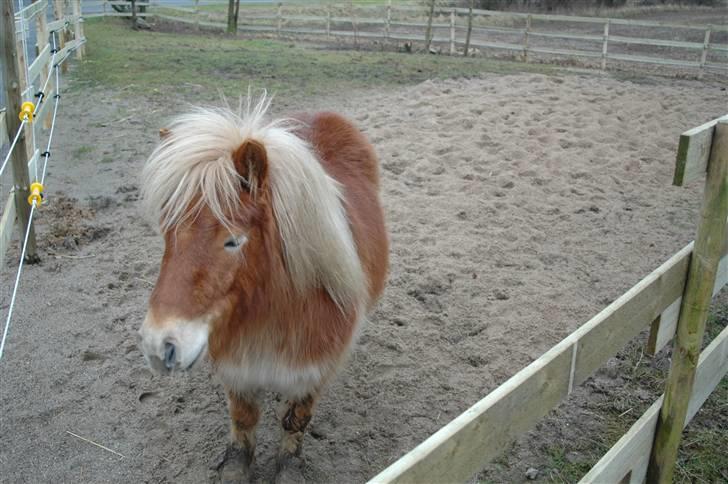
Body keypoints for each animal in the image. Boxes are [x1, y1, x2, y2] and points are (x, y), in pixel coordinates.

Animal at [136, 96, 386, 482]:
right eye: (167, 233)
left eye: (233, 241)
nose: (159, 344)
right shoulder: (238, 373)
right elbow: (243, 421)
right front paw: (236, 465)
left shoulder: (313, 373)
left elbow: (296, 421)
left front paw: (289, 467)